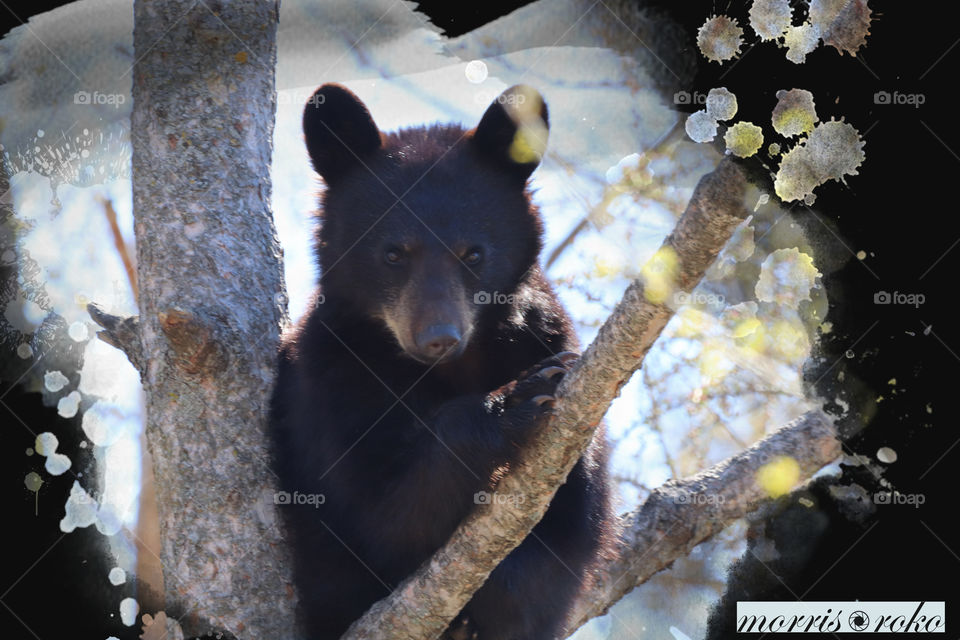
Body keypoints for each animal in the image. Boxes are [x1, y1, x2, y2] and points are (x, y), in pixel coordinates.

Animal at [269, 83, 612, 640]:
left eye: (473, 253)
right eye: (393, 253)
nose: (438, 339)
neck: (453, 370)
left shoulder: (543, 334)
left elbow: (570, 527)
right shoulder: (330, 378)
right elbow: (378, 519)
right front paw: (514, 402)